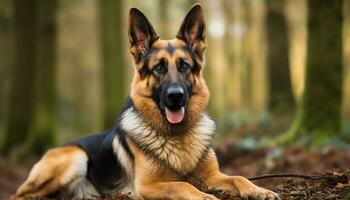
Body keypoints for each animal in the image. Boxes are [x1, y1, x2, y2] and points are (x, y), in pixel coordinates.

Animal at [12, 4, 280, 200]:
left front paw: (260, 190)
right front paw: (204, 196)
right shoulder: (148, 185)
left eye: (184, 66)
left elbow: (238, 177)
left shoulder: (213, 175)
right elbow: (182, 185)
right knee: (20, 195)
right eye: (158, 67)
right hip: (76, 156)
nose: (175, 96)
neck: (177, 136)